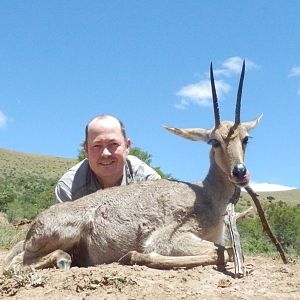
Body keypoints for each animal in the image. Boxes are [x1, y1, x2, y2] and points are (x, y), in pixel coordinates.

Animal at [4, 62, 262, 276]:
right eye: (214, 141)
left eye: (246, 138)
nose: (239, 172)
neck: (205, 194)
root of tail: (34, 227)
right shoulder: (168, 239)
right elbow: (224, 252)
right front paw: (133, 255)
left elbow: (224, 250)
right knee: (16, 264)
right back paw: (62, 259)